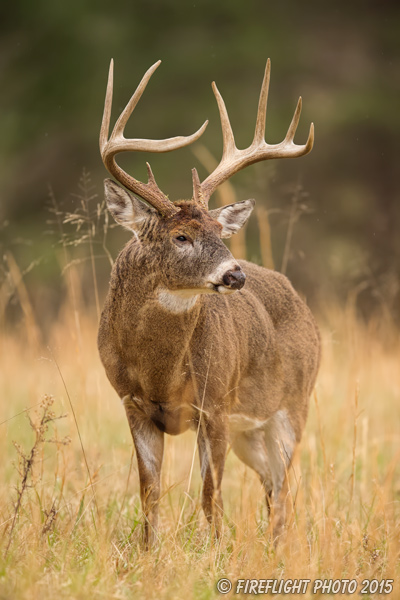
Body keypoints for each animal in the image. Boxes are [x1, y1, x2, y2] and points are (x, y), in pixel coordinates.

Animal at [98, 58, 320, 548]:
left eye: (220, 232)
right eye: (181, 236)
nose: (235, 275)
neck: (159, 372)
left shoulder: (214, 404)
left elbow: (210, 496)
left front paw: (215, 551)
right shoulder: (131, 403)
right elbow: (149, 495)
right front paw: (149, 553)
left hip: (292, 406)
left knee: (284, 489)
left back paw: (277, 549)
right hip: (249, 431)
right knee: (272, 486)